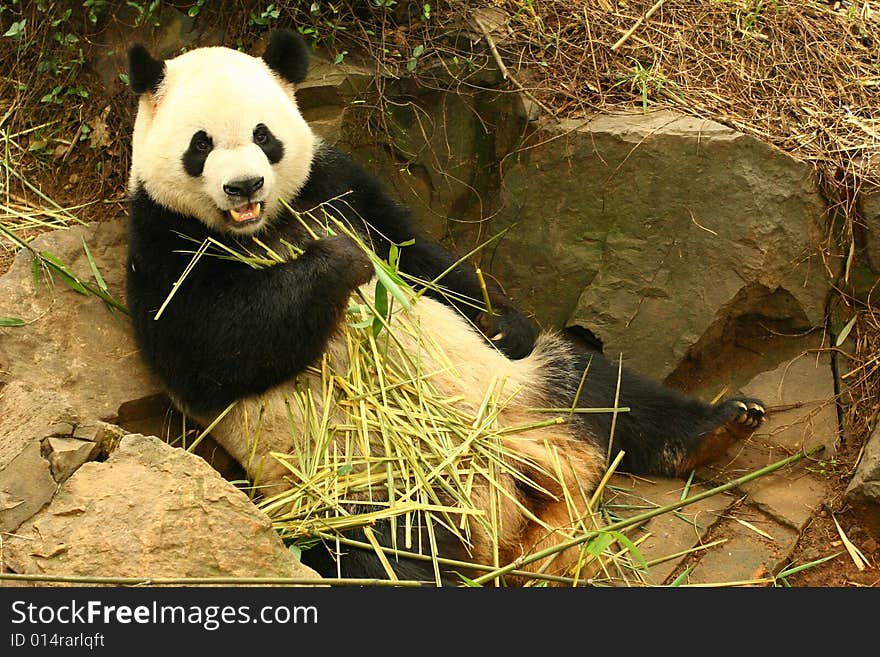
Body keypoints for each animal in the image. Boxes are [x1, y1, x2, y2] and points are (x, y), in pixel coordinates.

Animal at [124, 30, 764, 584]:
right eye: (201, 143)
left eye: (264, 136)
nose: (245, 186)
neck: (263, 227)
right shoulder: (159, 240)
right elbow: (209, 346)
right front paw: (338, 262)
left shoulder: (336, 182)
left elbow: (421, 256)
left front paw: (501, 320)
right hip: (362, 489)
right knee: (383, 556)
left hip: (521, 389)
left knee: (605, 388)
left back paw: (721, 427)